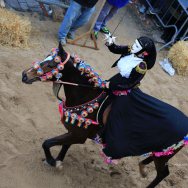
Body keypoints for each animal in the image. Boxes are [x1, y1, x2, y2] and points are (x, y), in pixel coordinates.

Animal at [22, 43, 185, 188]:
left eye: (51, 65)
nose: (24, 75)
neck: (88, 94)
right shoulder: (74, 131)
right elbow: (63, 145)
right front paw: (58, 161)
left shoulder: (79, 136)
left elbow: (47, 143)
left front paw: (52, 161)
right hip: (160, 153)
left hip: (163, 156)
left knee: (163, 174)